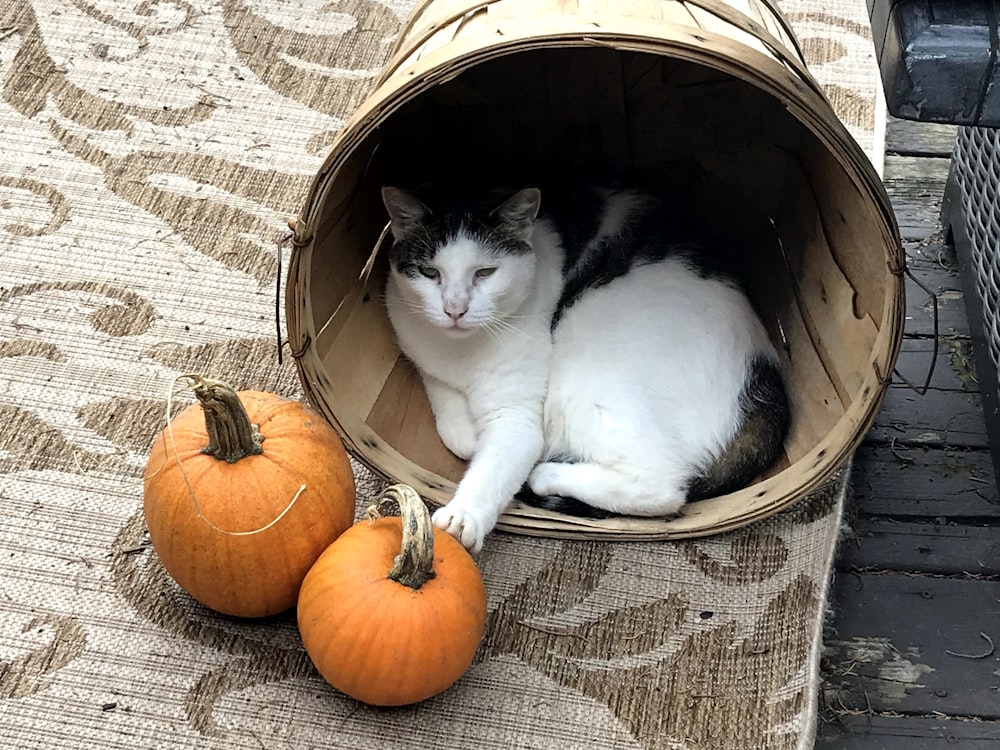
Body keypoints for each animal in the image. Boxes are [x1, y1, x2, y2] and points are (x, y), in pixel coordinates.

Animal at [380, 185, 788, 556]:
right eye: (429, 272)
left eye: (485, 273)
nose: (455, 310)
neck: (460, 349)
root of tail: (766, 382)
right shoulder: (420, 352)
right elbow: (455, 429)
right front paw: (467, 431)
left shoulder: (518, 417)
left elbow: (496, 463)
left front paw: (464, 517)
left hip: (587, 380)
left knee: (664, 488)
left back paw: (547, 475)